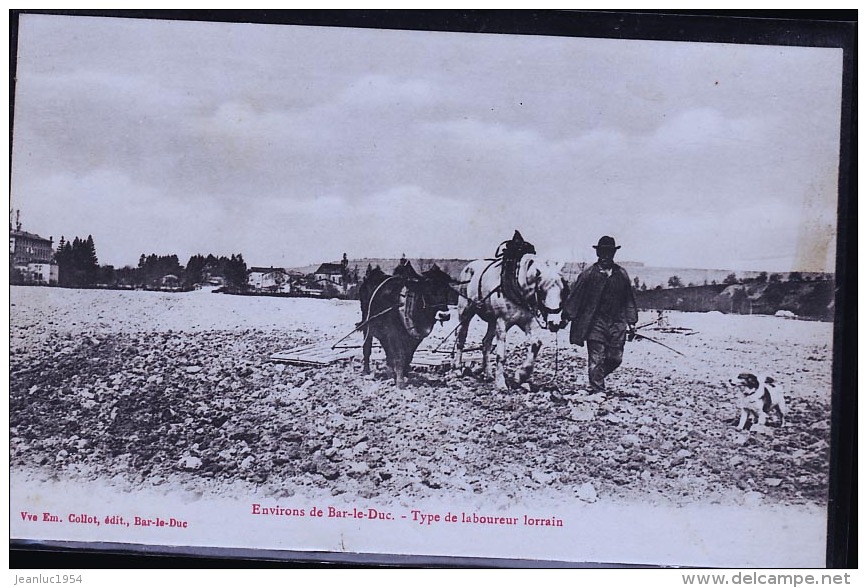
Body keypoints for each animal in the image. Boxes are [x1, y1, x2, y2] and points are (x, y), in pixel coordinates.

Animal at [454, 254, 568, 388]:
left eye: (563, 290)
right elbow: (501, 355)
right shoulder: (502, 322)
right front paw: (501, 383)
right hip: (465, 313)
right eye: (541, 290)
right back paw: (457, 368)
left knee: (486, 343)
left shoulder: (527, 322)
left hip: (492, 321)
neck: (518, 289)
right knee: (461, 338)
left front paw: (521, 375)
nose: (555, 323)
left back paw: (488, 374)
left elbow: (536, 344)